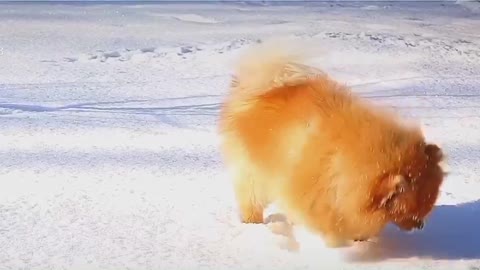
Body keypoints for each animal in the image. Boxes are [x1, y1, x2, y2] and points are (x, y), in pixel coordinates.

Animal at [218, 40, 446, 247]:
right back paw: (253, 224)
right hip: (252, 175)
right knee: (251, 201)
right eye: (411, 214)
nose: (420, 225)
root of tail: (259, 88)